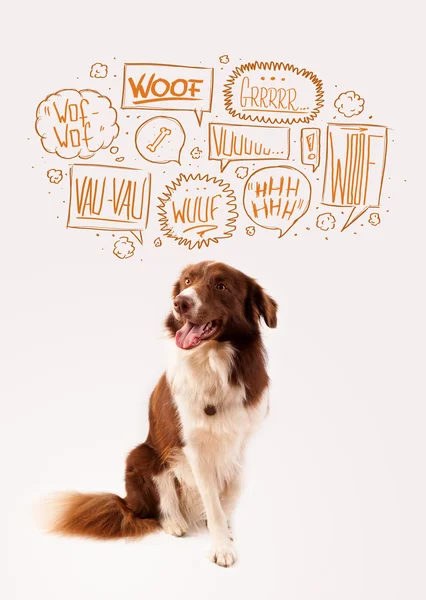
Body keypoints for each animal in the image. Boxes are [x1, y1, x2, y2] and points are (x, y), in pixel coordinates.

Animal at [46, 258, 278, 568]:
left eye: (221, 286)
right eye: (188, 282)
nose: (180, 302)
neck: (214, 363)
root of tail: (126, 503)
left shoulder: (241, 441)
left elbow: (232, 491)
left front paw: (226, 532)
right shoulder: (194, 447)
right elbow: (212, 500)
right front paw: (221, 547)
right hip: (143, 455)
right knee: (160, 503)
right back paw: (174, 522)